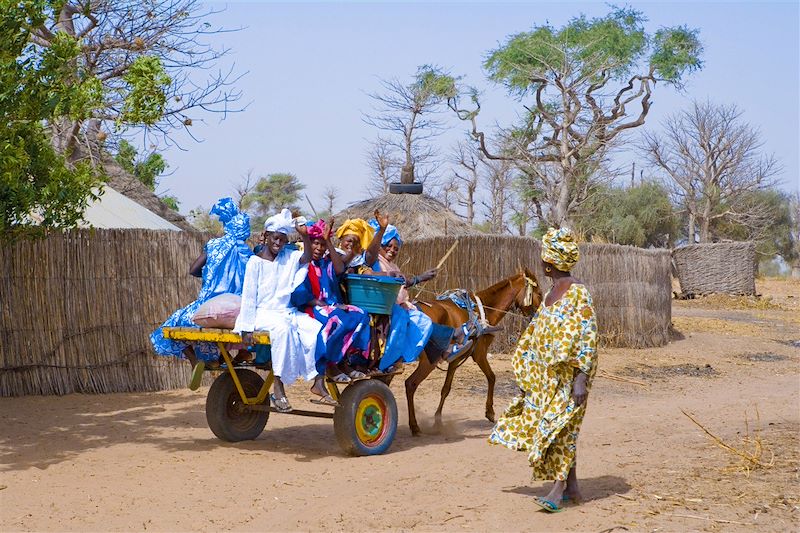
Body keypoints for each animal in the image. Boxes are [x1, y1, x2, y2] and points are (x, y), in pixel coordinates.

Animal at [406, 268, 544, 434]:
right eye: (539, 293)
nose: (537, 316)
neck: (483, 309)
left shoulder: (456, 359)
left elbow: (446, 388)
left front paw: (438, 420)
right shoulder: (480, 354)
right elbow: (492, 377)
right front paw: (490, 411)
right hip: (428, 362)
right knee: (410, 384)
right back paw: (414, 426)